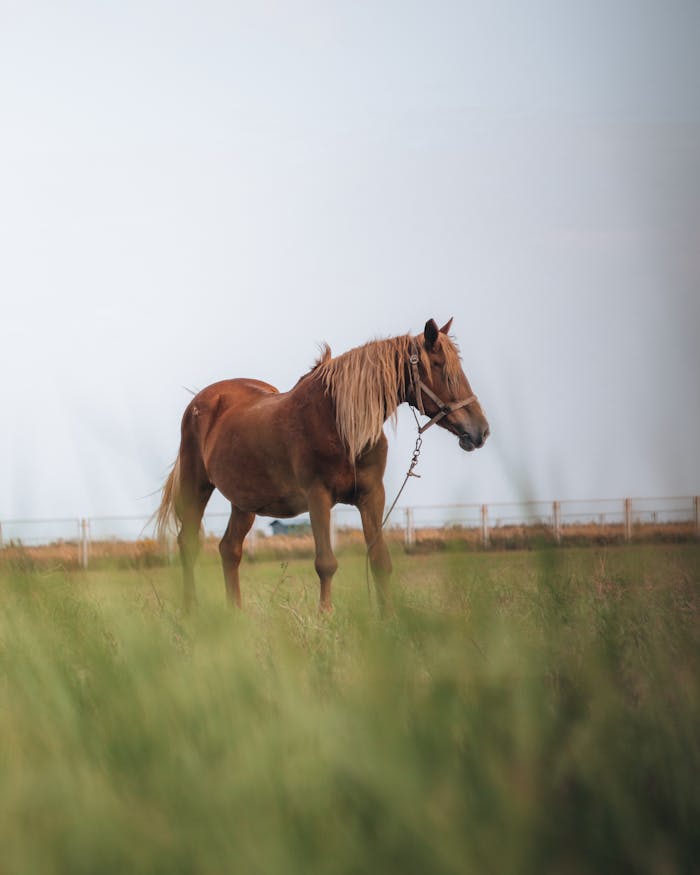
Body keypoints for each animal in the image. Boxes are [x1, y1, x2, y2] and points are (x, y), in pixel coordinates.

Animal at [155, 318, 489, 614]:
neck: (341, 424)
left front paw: (390, 618)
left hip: (245, 501)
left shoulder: (372, 496)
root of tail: (202, 400)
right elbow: (325, 563)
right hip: (196, 486)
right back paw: (191, 611)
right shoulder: (318, 496)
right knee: (188, 543)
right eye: (441, 368)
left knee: (230, 549)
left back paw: (235, 614)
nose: (481, 431)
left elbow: (380, 560)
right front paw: (325, 617)